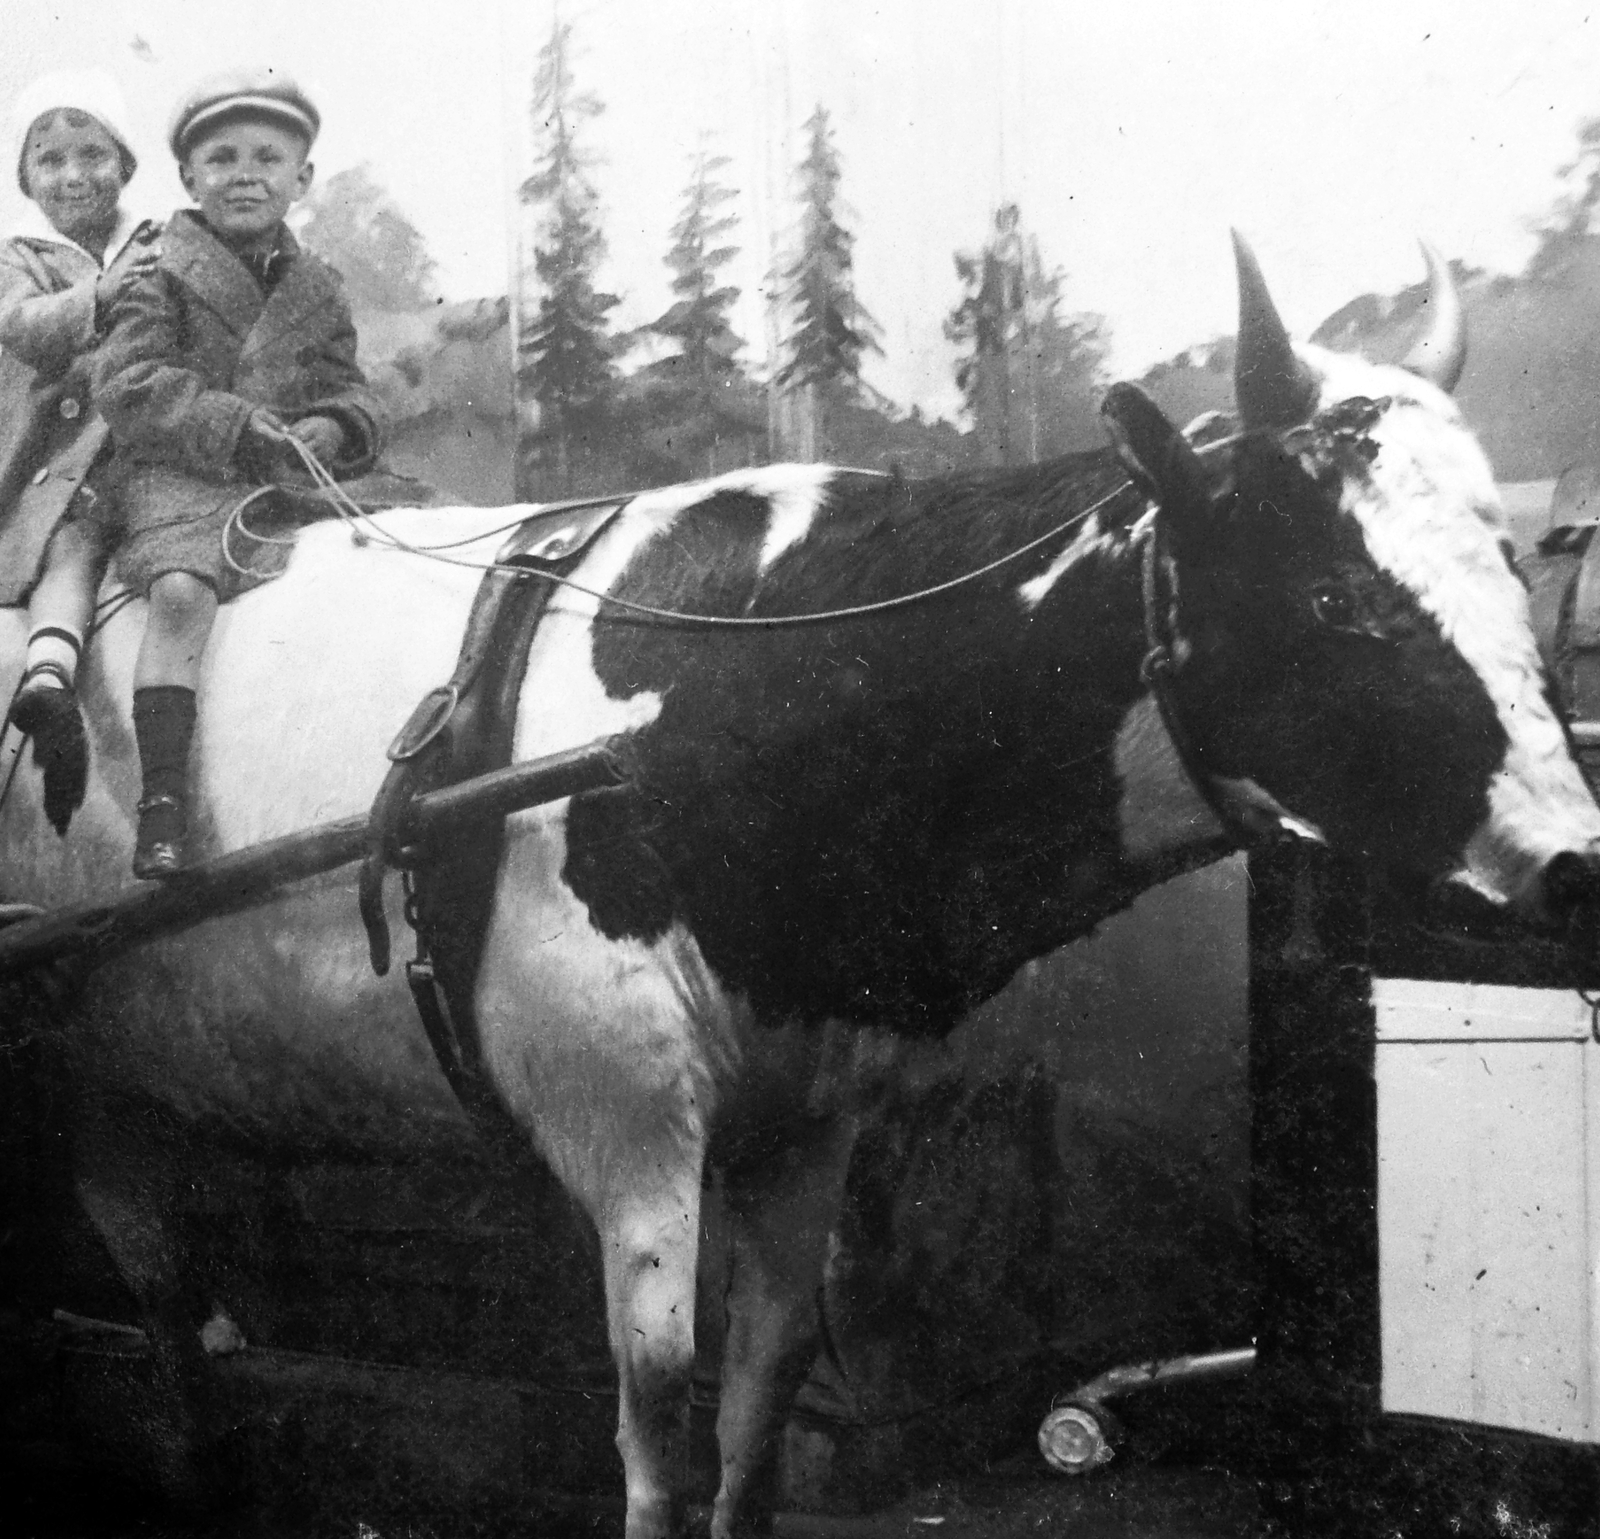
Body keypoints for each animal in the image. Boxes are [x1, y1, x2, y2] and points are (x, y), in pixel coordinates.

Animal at [9, 230, 1600, 1535]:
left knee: (162, 1291)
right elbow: (660, 1427)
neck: (754, 687)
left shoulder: (812, 1109)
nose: (1573, 853)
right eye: (1335, 594)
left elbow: (760, 1407)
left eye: (1511, 567)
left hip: (119, 1075)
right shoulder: (627, 1114)